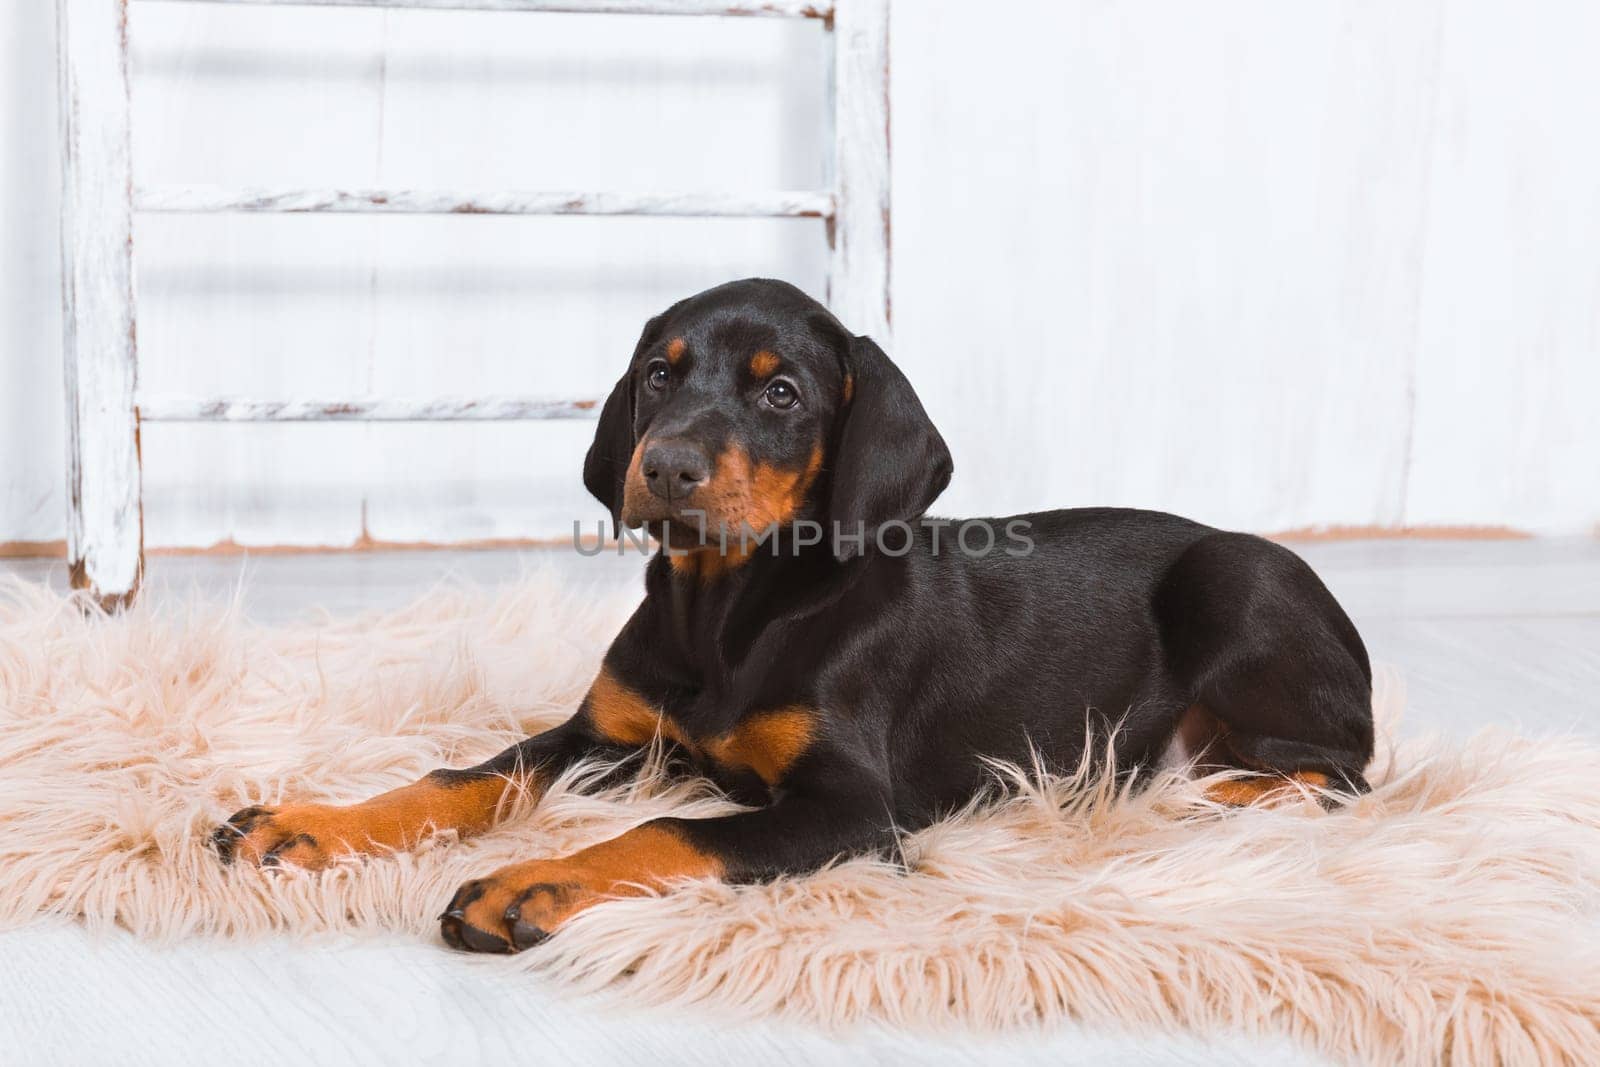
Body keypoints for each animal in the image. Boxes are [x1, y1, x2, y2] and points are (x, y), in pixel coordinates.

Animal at [212, 279, 1376, 953]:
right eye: (658, 373)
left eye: (782, 395)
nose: (665, 466)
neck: (723, 613)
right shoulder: (611, 732)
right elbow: (465, 775)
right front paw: (310, 823)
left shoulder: (854, 808)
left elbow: (670, 826)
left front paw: (531, 880)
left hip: (1236, 578)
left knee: (1337, 772)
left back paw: (1183, 799)